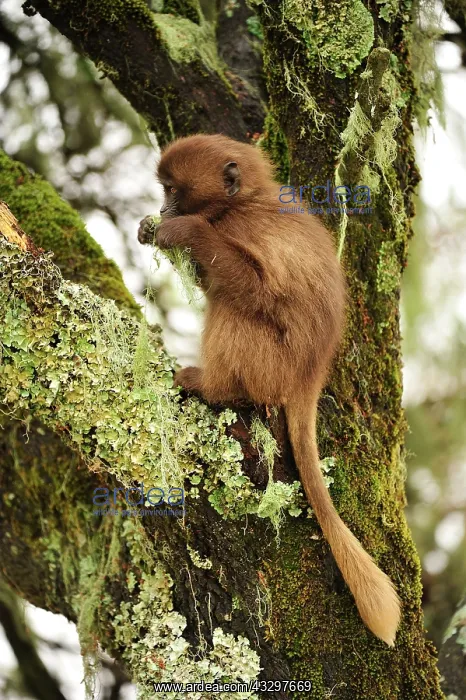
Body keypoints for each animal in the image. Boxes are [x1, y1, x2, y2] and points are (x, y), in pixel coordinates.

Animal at [138, 134, 401, 646]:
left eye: (173, 190)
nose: (162, 207)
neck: (246, 200)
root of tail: (309, 379)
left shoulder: (240, 227)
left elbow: (258, 291)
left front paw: (183, 230)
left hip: (270, 366)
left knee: (236, 308)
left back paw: (214, 389)